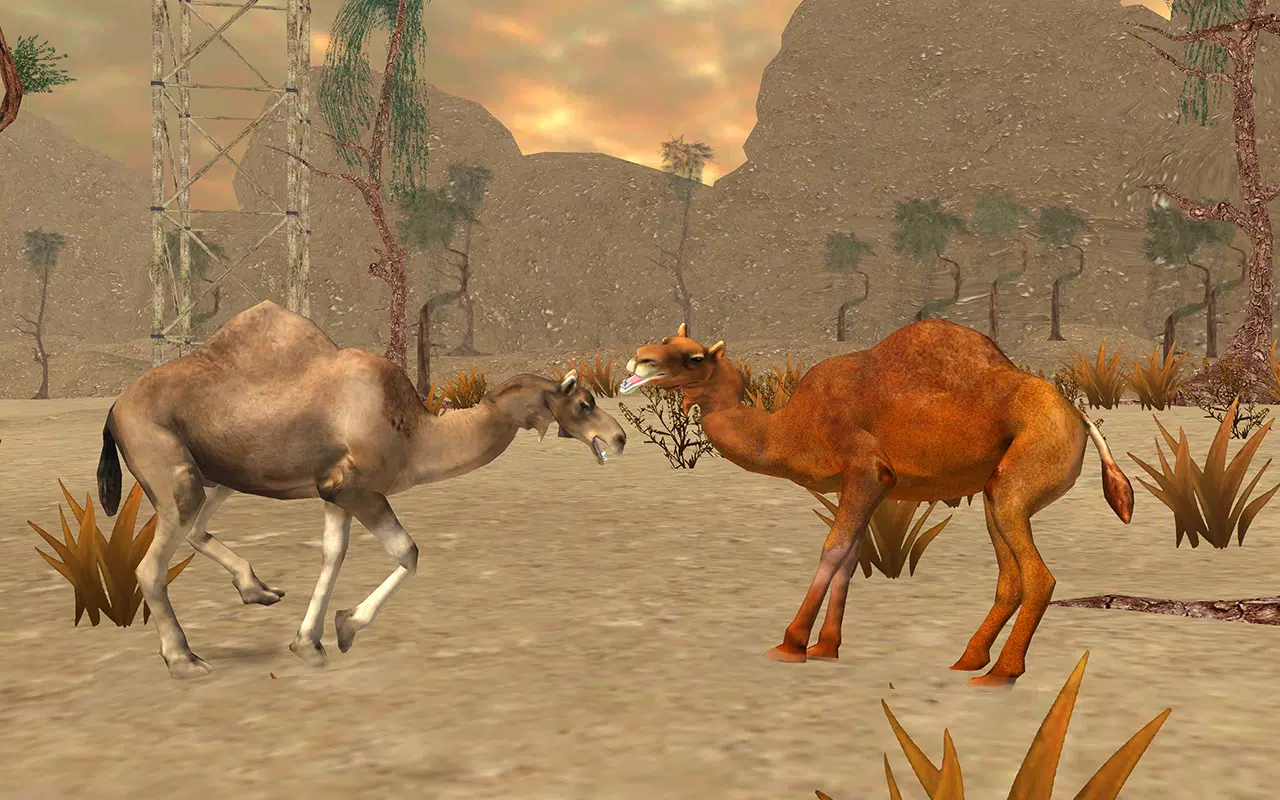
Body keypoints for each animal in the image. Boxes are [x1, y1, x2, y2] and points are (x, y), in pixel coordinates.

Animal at [96, 300, 627, 679]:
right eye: (584, 403)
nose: (618, 437)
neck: (418, 433)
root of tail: (114, 409)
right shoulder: (354, 487)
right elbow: (408, 552)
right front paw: (346, 627)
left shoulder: (334, 490)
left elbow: (333, 553)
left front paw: (309, 642)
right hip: (175, 471)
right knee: (151, 566)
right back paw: (184, 660)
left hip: (216, 476)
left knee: (196, 528)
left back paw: (258, 590)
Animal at [620, 320, 1133, 686]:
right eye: (664, 340)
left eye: (693, 357)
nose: (638, 360)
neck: (786, 428)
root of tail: (1078, 414)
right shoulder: (868, 485)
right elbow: (849, 556)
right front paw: (826, 647)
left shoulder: (866, 469)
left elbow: (832, 549)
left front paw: (791, 644)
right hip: (996, 493)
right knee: (1010, 576)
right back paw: (969, 659)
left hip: (1018, 482)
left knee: (1039, 577)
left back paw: (1001, 673)